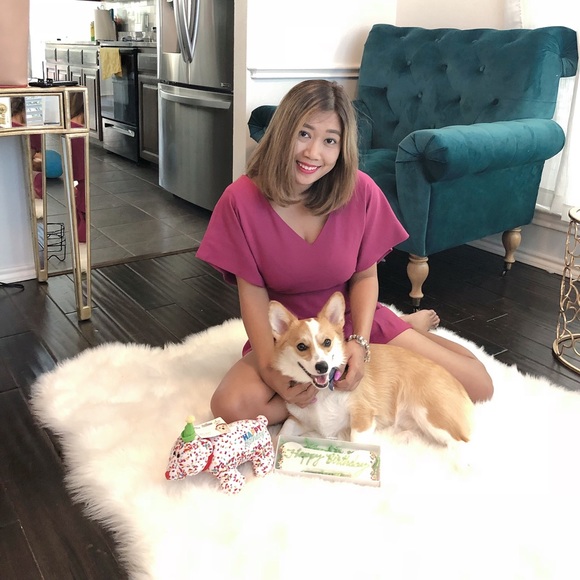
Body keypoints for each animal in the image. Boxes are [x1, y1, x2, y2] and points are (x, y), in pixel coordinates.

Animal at [268, 292, 474, 446]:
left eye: (327, 342)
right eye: (301, 346)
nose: (322, 367)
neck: (324, 392)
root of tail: (461, 389)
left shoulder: (362, 416)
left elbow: (355, 442)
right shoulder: (297, 420)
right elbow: (280, 433)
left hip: (429, 414)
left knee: (461, 443)